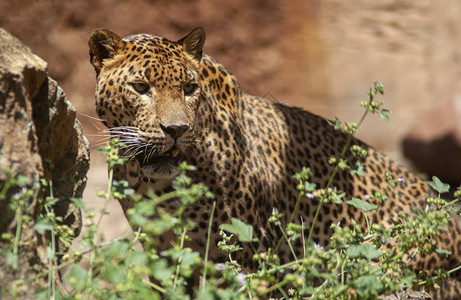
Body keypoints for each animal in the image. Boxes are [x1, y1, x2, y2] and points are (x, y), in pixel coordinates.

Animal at [89, 28, 460, 298]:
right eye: (140, 87)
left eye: (189, 88)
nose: (177, 130)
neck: (159, 185)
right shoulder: (160, 250)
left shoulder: (244, 255)